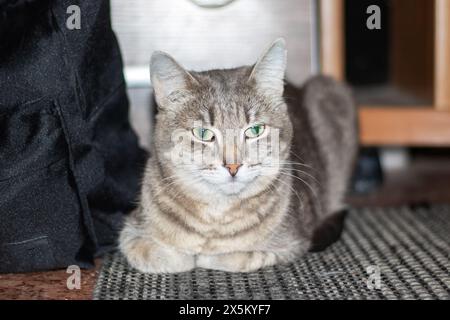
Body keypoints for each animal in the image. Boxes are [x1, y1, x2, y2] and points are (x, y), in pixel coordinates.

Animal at [119, 37, 358, 272]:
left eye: (255, 130)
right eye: (203, 133)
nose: (233, 166)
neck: (217, 216)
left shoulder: (293, 242)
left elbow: (232, 256)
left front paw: (207, 255)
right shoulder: (131, 231)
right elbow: (160, 255)